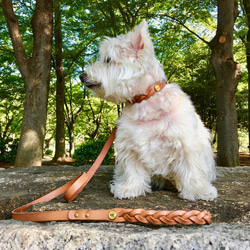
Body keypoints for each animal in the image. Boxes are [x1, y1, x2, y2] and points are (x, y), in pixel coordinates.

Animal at [80, 20, 217, 202]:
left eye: (108, 59)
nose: (81, 76)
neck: (145, 100)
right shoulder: (129, 145)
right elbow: (132, 170)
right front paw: (129, 188)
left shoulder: (186, 143)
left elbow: (191, 168)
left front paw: (199, 191)